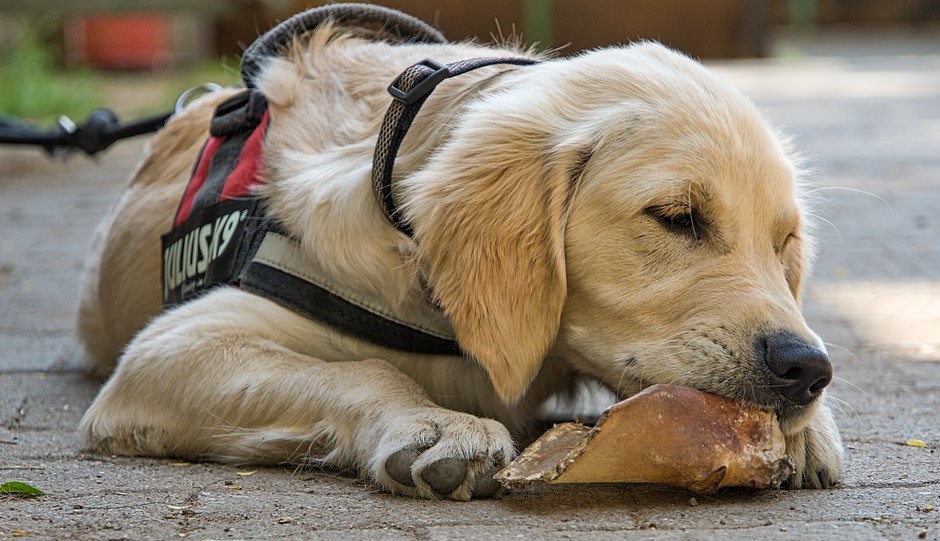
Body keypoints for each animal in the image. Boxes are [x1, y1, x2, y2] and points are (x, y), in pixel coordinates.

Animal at [77, 17, 844, 498]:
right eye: (678, 217)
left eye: (784, 246)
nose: (807, 370)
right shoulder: (170, 348)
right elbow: (366, 368)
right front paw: (436, 426)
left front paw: (811, 431)